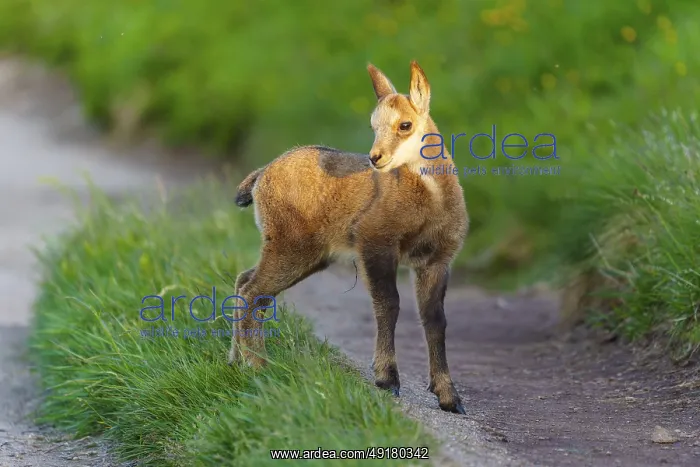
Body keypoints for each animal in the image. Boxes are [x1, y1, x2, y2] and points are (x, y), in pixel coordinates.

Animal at [228, 61, 468, 414]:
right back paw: (256, 366)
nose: (375, 157)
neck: (432, 201)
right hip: (291, 246)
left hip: (305, 254)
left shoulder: (436, 260)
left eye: (405, 124)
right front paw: (387, 378)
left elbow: (435, 320)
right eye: (372, 125)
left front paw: (449, 396)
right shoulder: (376, 243)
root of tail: (260, 177)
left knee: (245, 281)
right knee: (252, 291)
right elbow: (389, 304)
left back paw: (235, 361)